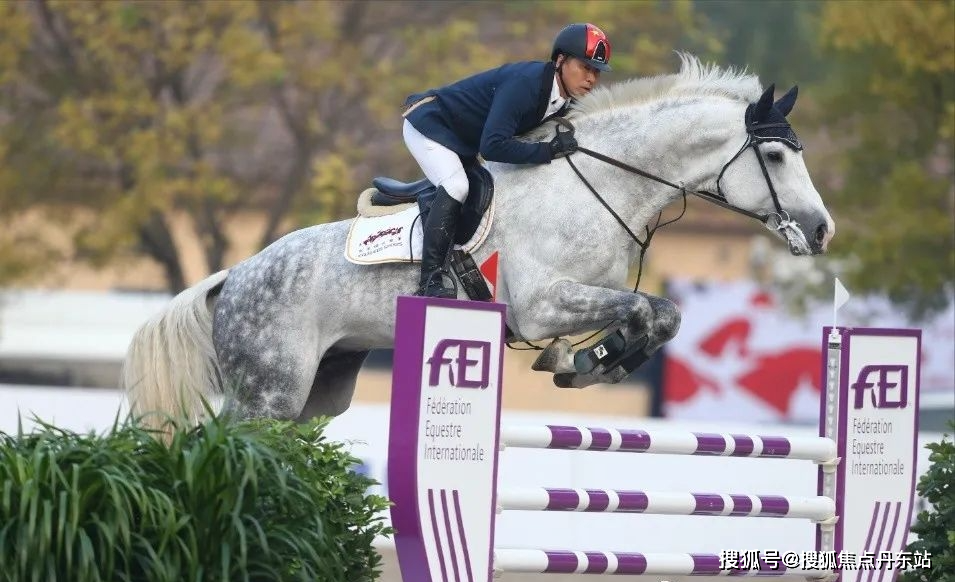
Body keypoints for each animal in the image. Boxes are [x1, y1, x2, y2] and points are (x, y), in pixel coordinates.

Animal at [121, 54, 836, 426]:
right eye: (775, 156)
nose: (822, 230)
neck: (601, 182)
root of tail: (233, 277)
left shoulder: (587, 294)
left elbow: (663, 315)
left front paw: (587, 362)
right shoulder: (542, 304)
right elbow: (643, 309)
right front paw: (586, 362)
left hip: (320, 392)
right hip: (268, 394)